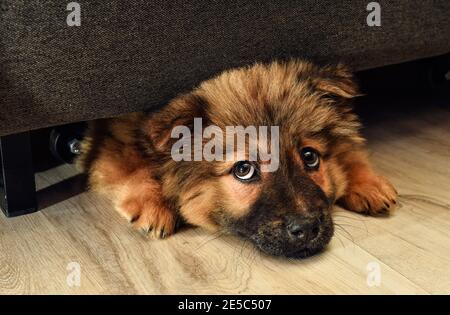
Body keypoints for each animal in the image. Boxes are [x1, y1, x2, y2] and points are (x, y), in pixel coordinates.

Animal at [77, 59, 398, 260]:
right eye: (244, 169)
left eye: (310, 157)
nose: (307, 229)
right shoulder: (117, 134)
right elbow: (133, 163)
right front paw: (154, 204)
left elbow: (347, 150)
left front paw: (367, 182)